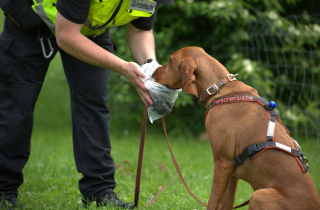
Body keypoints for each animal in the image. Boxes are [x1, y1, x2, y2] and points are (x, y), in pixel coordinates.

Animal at [152, 46, 320, 209]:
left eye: (169, 60)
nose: (152, 72)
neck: (219, 90)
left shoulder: (222, 163)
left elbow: (213, 201)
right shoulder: (232, 170)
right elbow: (227, 203)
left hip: (258, 195)